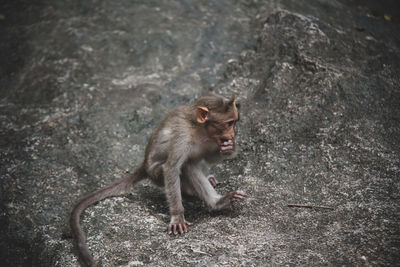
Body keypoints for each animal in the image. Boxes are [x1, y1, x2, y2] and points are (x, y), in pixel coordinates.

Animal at [70, 93, 248, 266]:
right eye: (229, 123)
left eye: (234, 123)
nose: (232, 135)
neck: (199, 129)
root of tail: (145, 165)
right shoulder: (182, 136)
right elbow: (171, 168)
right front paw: (177, 216)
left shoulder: (211, 139)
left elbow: (208, 156)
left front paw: (230, 148)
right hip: (156, 174)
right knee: (188, 165)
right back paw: (215, 202)